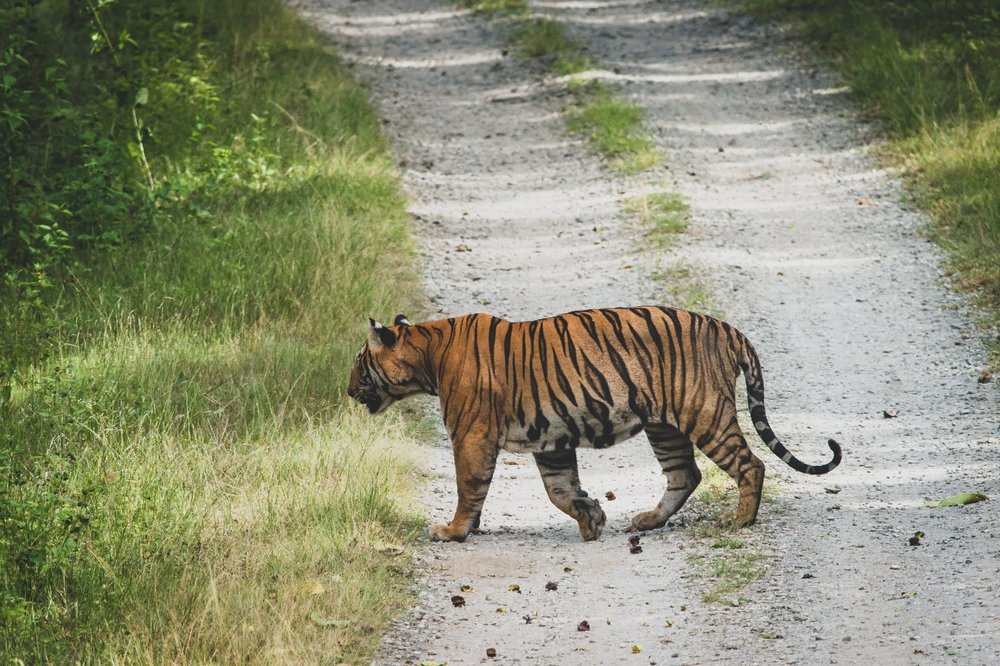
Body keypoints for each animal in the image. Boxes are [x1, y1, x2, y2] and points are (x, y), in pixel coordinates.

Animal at [348, 307, 841, 542]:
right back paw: (647, 520)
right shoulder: (549, 438)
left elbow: (468, 486)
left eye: (359, 361)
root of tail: (725, 327)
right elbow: (560, 489)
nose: (349, 390)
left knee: (750, 465)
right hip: (665, 426)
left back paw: (739, 520)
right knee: (685, 474)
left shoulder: (472, 435)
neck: (427, 353)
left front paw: (452, 531)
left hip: (704, 413)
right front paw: (593, 519)